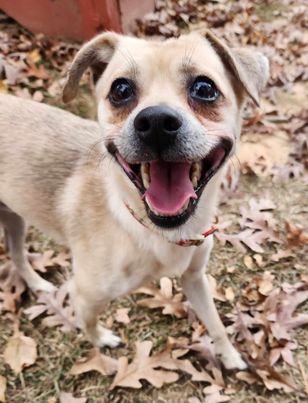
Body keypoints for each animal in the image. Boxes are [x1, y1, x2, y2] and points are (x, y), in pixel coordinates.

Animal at [0, 30, 270, 370]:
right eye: (121, 90)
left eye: (204, 88)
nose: (156, 122)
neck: (153, 231)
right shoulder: (85, 294)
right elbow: (88, 324)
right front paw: (103, 345)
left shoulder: (195, 278)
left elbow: (216, 323)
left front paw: (230, 356)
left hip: (14, 219)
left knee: (17, 256)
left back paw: (37, 284)